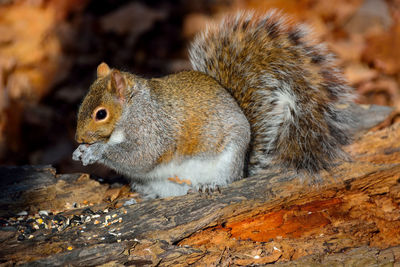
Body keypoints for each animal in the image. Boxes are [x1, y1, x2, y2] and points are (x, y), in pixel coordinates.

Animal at [72, 11, 354, 199]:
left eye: (101, 114)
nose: (78, 138)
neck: (131, 110)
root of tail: (243, 167)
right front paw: (80, 152)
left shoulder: (152, 129)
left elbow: (142, 156)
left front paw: (95, 151)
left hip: (228, 159)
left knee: (227, 179)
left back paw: (211, 185)